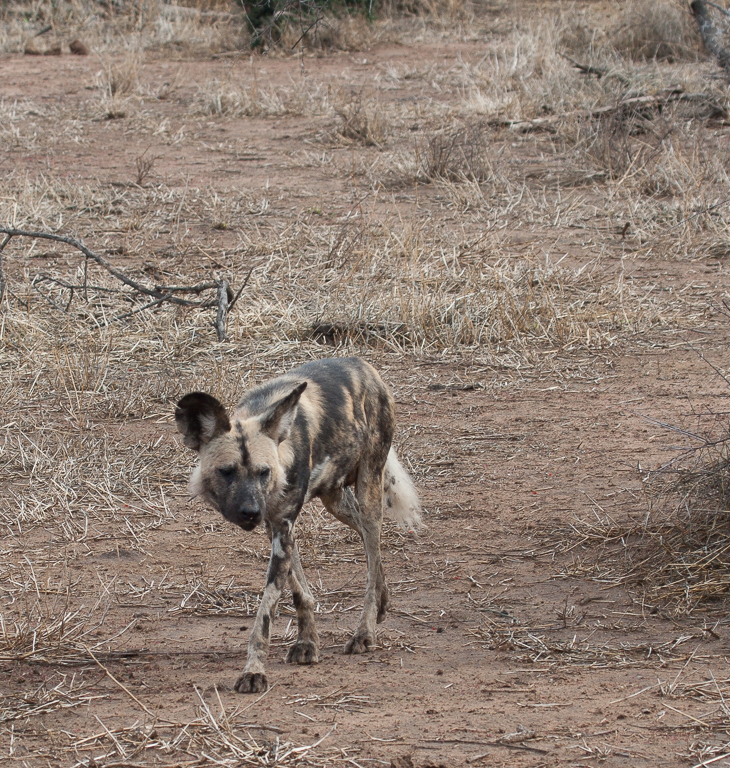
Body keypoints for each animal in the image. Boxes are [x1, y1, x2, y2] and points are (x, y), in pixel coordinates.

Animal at [173, 356, 418, 692]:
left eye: (263, 472)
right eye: (226, 472)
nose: (250, 512)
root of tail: (362, 364)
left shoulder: (282, 530)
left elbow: (265, 613)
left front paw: (253, 671)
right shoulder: (276, 527)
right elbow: (300, 591)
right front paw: (307, 643)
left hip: (368, 491)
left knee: (372, 548)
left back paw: (364, 632)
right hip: (336, 501)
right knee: (374, 547)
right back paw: (382, 601)